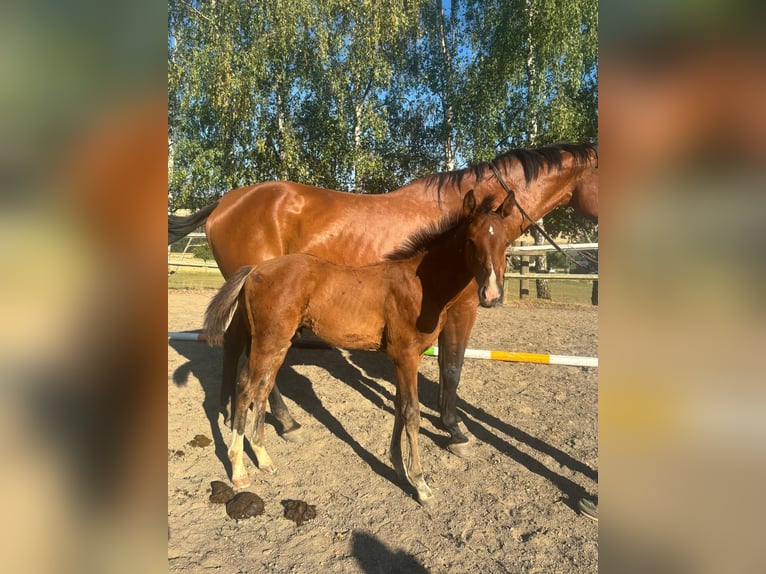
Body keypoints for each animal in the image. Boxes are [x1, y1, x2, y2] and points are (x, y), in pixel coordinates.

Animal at [170, 142, 598, 455]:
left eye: (503, 242)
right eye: (474, 242)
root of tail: (225, 202)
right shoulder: (463, 308)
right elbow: (452, 366)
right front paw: (455, 429)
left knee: (235, 346)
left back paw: (233, 413)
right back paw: (284, 422)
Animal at [203, 190, 515, 505]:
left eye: (506, 243)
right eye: (471, 240)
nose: (491, 294)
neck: (420, 285)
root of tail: (254, 270)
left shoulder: (398, 359)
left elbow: (399, 407)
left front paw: (398, 467)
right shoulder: (407, 356)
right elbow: (412, 413)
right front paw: (420, 483)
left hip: (279, 344)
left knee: (263, 387)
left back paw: (264, 457)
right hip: (268, 341)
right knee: (245, 387)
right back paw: (239, 470)